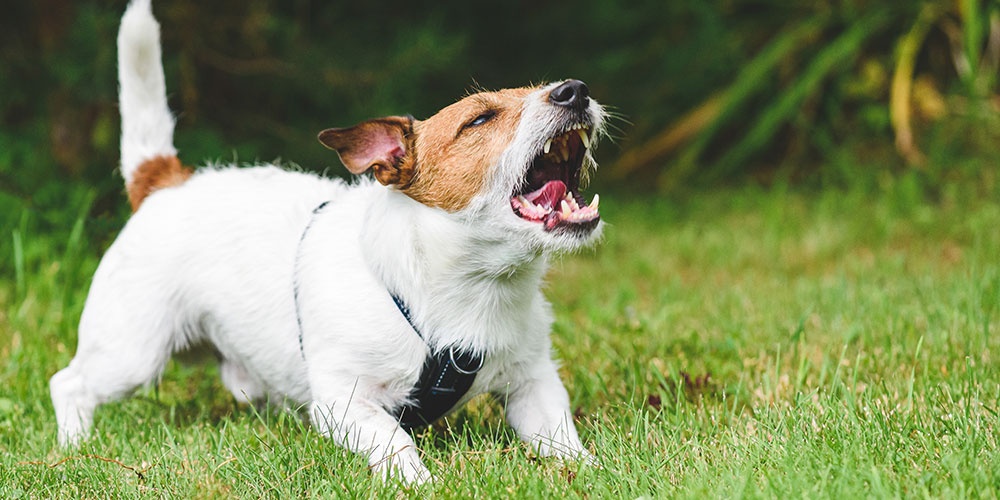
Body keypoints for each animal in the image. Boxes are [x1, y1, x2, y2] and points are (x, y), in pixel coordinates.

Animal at [50, 0, 604, 484]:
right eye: (480, 119)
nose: (575, 90)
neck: (468, 286)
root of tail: (165, 181)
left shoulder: (533, 383)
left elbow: (561, 437)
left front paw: (591, 471)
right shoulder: (345, 401)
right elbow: (395, 440)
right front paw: (419, 480)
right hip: (131, 352)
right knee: (68, 383)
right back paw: (76, 446)